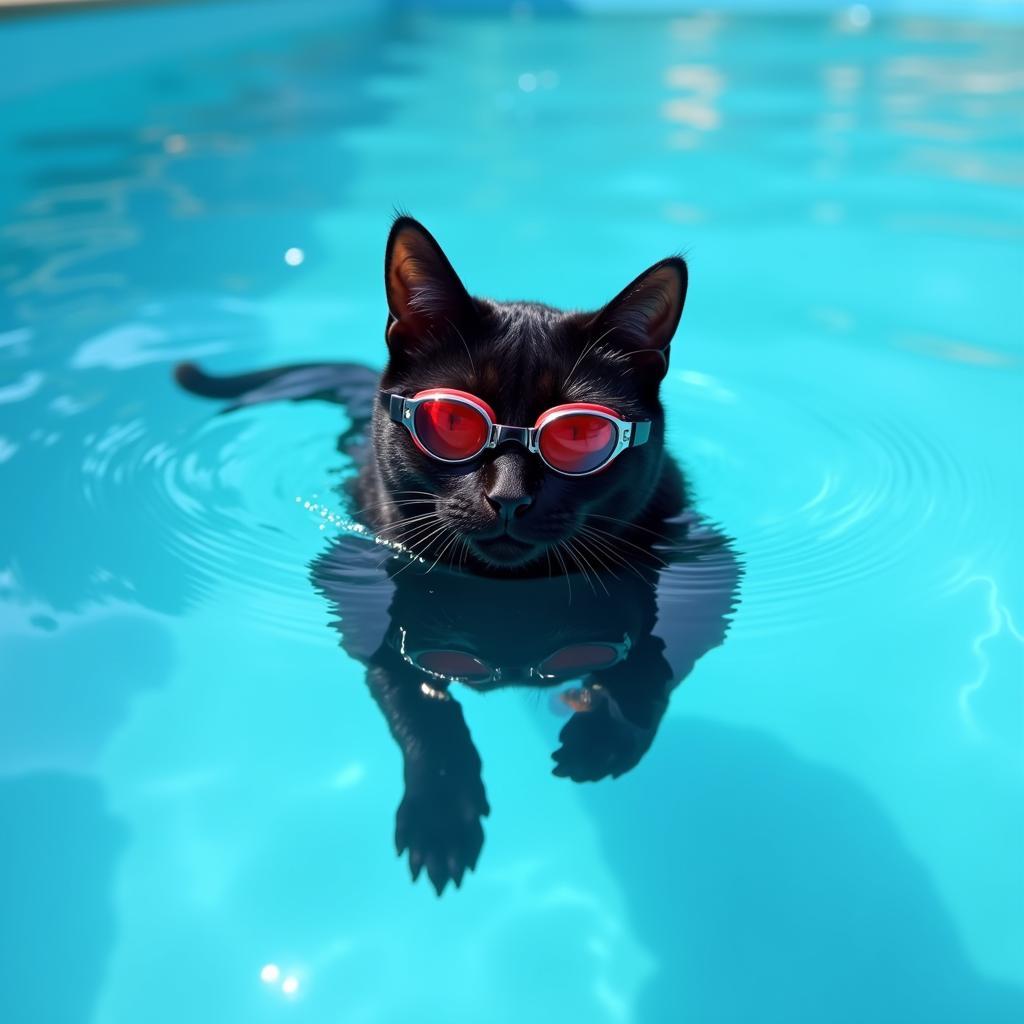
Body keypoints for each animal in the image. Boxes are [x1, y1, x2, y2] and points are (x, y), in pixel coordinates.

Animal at [174, 218, 737, 897]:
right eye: (451, 421)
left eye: (579, 435)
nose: (508, 497)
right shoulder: (361, 581)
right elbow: (413, 688)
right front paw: (442, 813)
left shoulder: (703, 562)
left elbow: (658, 655)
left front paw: (606, 731)